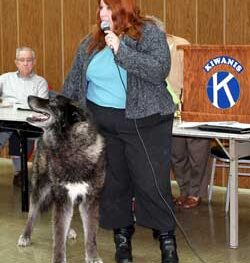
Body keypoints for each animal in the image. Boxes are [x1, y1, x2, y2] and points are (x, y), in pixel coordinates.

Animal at [17, 95, 105, 263]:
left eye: (53, 101)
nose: (29, 97)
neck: (72, 148)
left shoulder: (90, 201)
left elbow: (91, 234)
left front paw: (92, 256)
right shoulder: (62, 198)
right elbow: (58, 236)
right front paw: (59, 258)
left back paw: (69, 231)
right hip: (40, 189)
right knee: (32, 215)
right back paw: (25, 236)